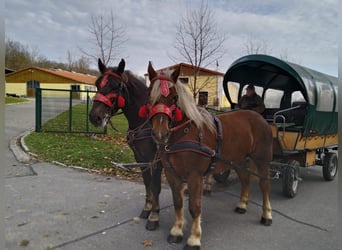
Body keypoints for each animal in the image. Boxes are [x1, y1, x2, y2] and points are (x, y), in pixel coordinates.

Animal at [89, 58, 162, 230]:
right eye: (97, 84)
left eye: (116, 86)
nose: (95, 117)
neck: (145, 122)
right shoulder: (140, 158)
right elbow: (147, 182)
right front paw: (147, 209)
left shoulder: (155, 160)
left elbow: (155, 185)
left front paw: (154, 216)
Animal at [144, 63, 272, 250]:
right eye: (149, 95)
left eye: (175, 97)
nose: (160, 134)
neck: (184, 134)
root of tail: (259, 117)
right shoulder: (172, 174)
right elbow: (178, 202)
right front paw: (176, 231)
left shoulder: (195, 176)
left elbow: (194, 207)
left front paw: (194, 238)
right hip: (239, 160)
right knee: (245, 179)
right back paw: (242, 204)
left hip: (262, 160)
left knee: (264, 185)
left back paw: (267, 215)